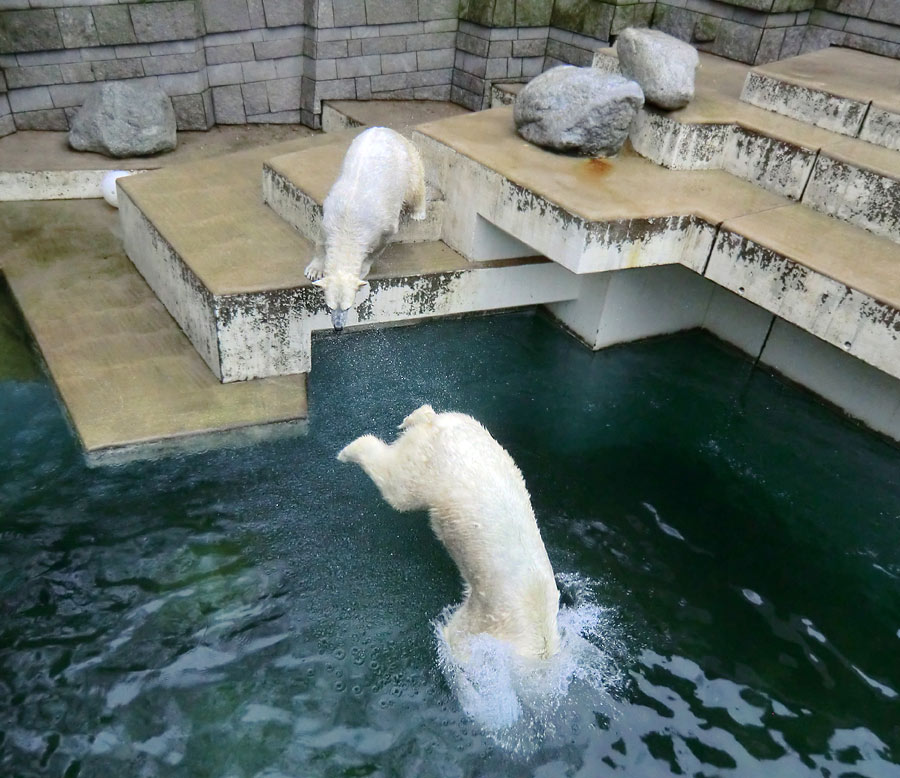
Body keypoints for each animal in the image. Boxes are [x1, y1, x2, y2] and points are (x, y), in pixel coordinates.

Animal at [304, 126, 428, 330]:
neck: (349, 225)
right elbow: (320, 241)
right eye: (330, 307)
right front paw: (314, 270)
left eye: (348, 307)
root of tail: (384, 129)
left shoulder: (384, 226)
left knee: (416, 184)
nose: (338, 327)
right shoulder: (330, 217)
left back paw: (419, 212)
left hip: (406, 161)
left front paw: (364, 268)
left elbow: (378, 246)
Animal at [338, 400, 560, 660]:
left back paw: (412, 419)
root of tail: (440, 426)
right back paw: (349, 450)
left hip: (471, 428)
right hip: (431, 467)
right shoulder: (490, 617)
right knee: (399, 488)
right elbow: (458, 636)